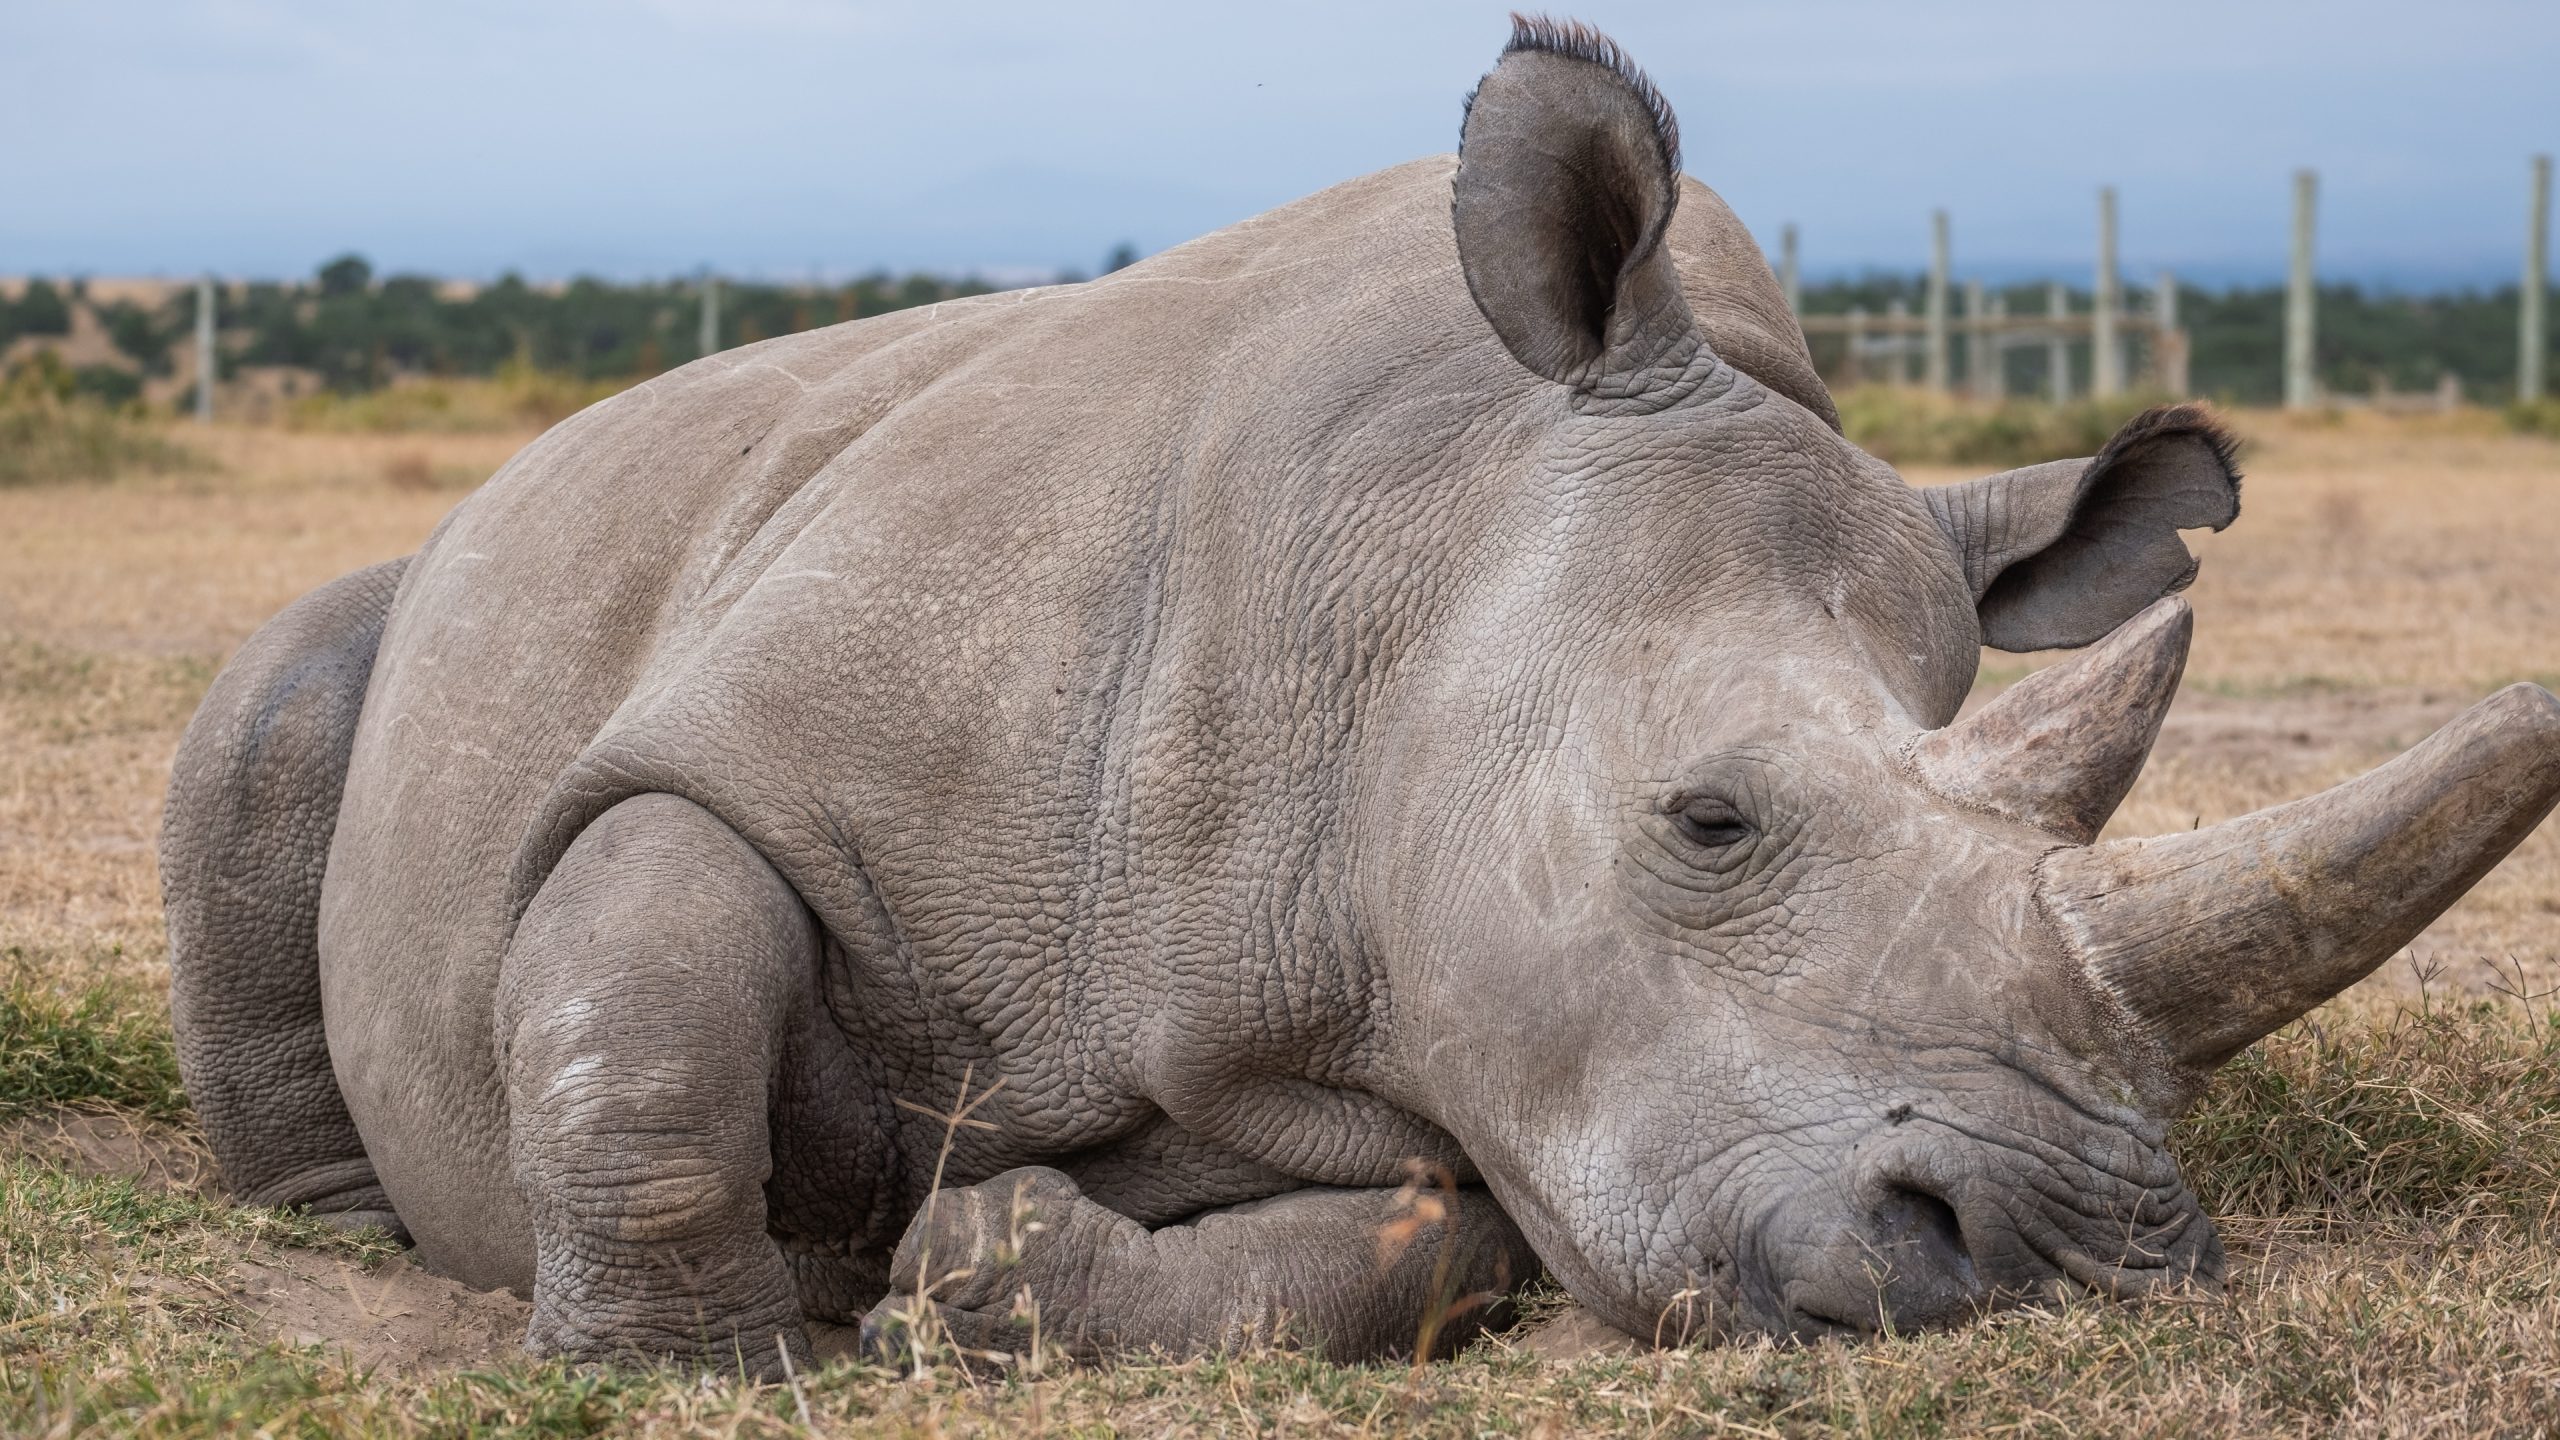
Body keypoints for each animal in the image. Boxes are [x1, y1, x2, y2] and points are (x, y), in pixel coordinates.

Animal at [161, 18, 2560, 1368]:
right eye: (1709, 822)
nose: (2075, 1265)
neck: (1418, 564)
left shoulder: (1482, 1025)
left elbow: (1426, 1249)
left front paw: (975, 1268)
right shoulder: (772, 745)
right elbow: (649, 955)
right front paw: (694, 1365)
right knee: (272, 712)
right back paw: (338, 1230)